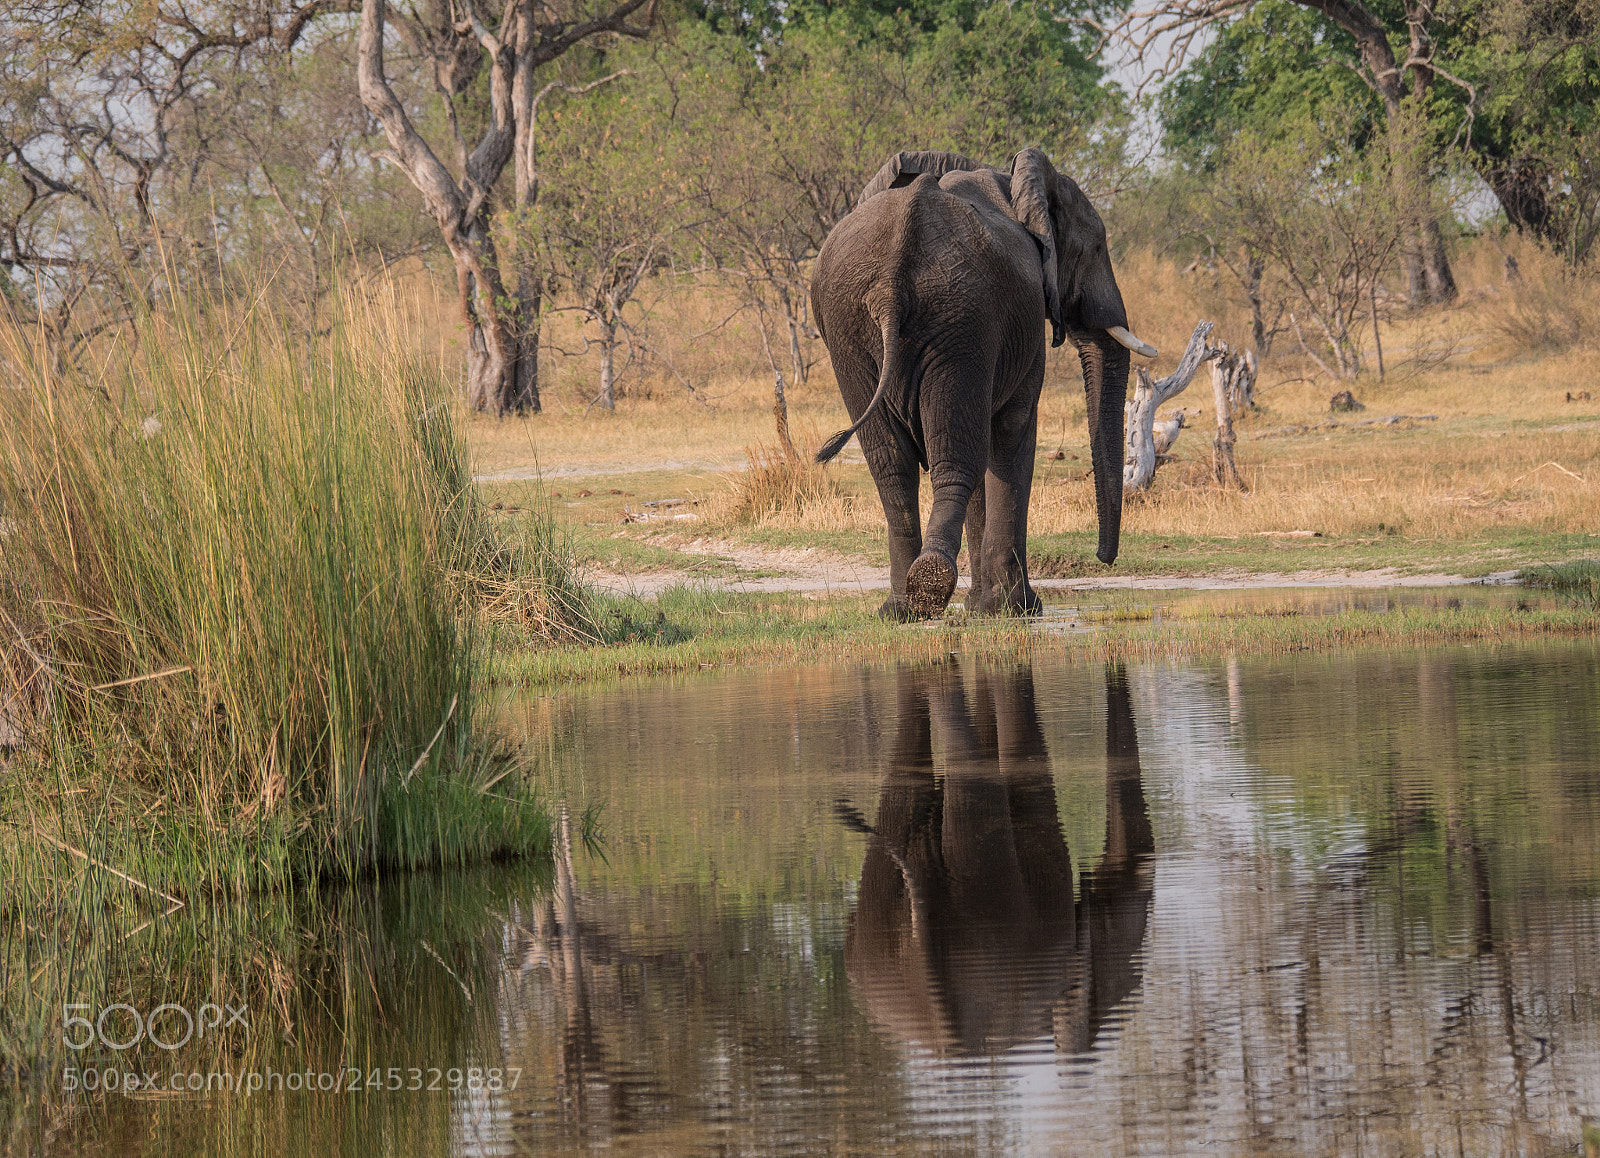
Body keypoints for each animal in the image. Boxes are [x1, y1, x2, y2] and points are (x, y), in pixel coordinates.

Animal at [811, 148, 1157, 620]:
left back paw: (903, 607)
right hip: (958, 321)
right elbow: (1012, 430)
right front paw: (1018, 608)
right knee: (960, 457)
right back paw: (930, 585)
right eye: (1099, 247)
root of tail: (890, 281)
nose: (1104, 557)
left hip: (857, 329)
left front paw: (982, 608)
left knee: (895, 465)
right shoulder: (1020, 330)